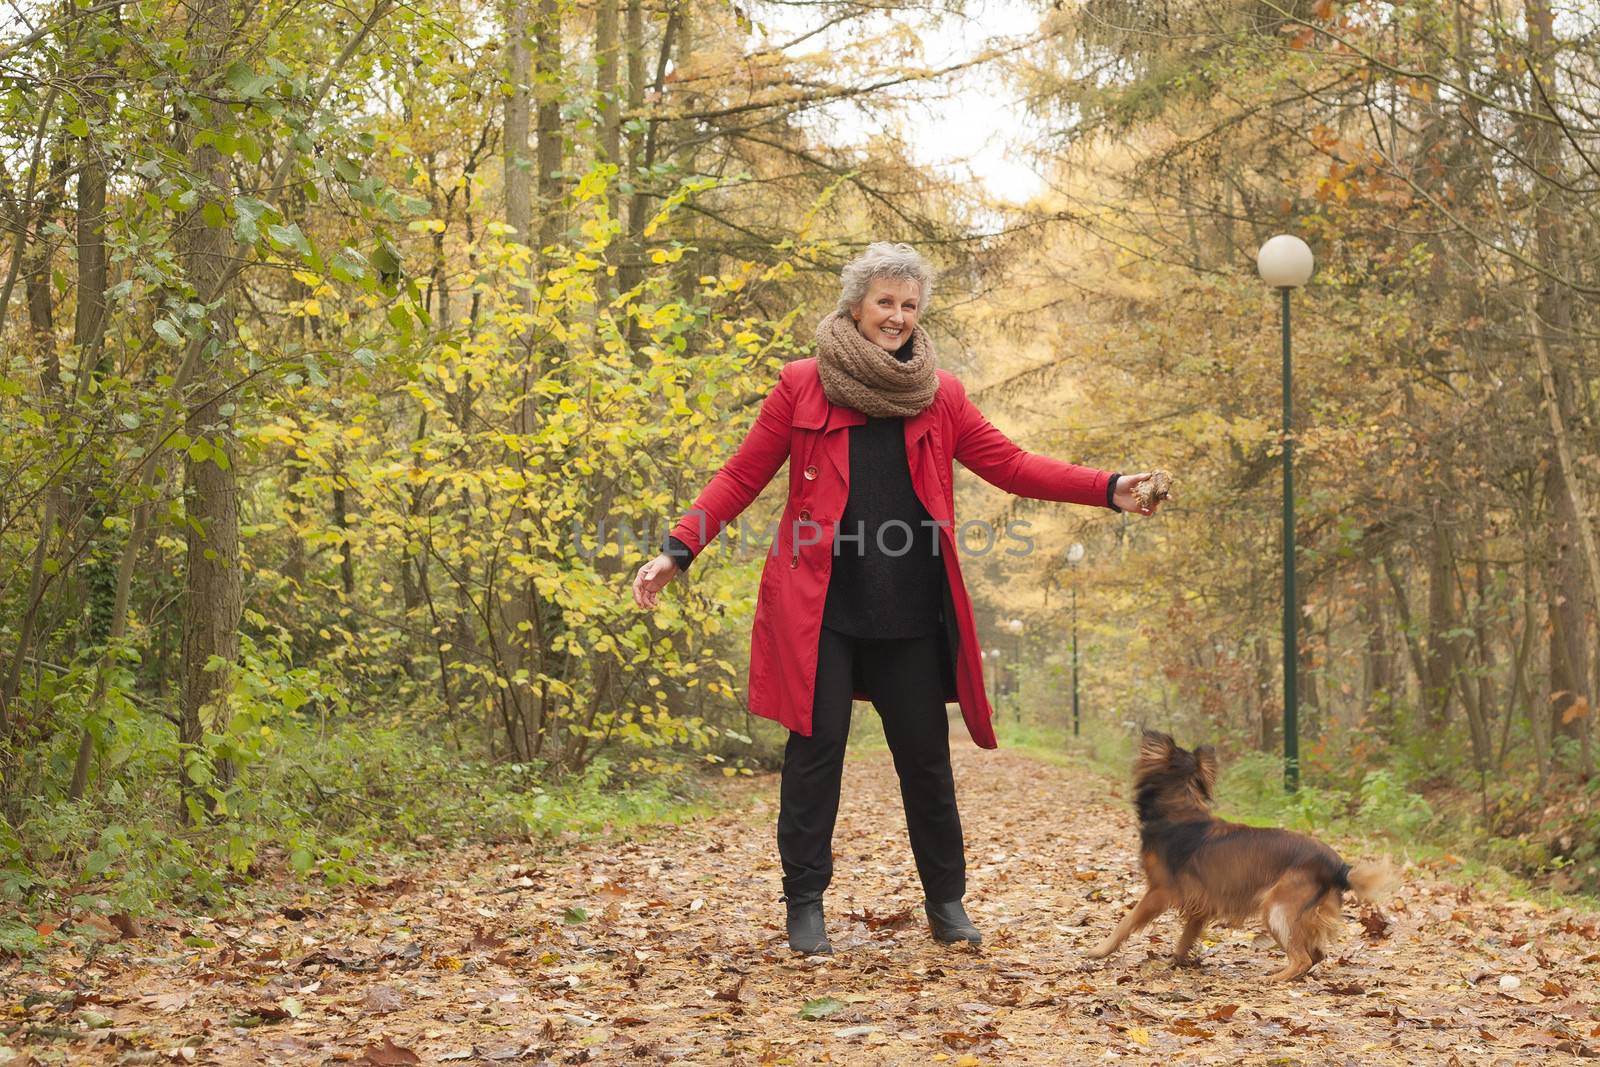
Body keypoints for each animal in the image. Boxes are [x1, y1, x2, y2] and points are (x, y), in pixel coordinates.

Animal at [1094, 729, 1395, 979]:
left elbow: (1127, 921)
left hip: (1277, 909)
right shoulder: (1201, 902)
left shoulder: (1160, 891)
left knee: (1303, 958)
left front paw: (1100, 950)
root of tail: (1338, 865)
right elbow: (1187, 935)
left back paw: (1276, 978)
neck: (1179, 806)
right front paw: (1177, 959)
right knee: (1317, 954)